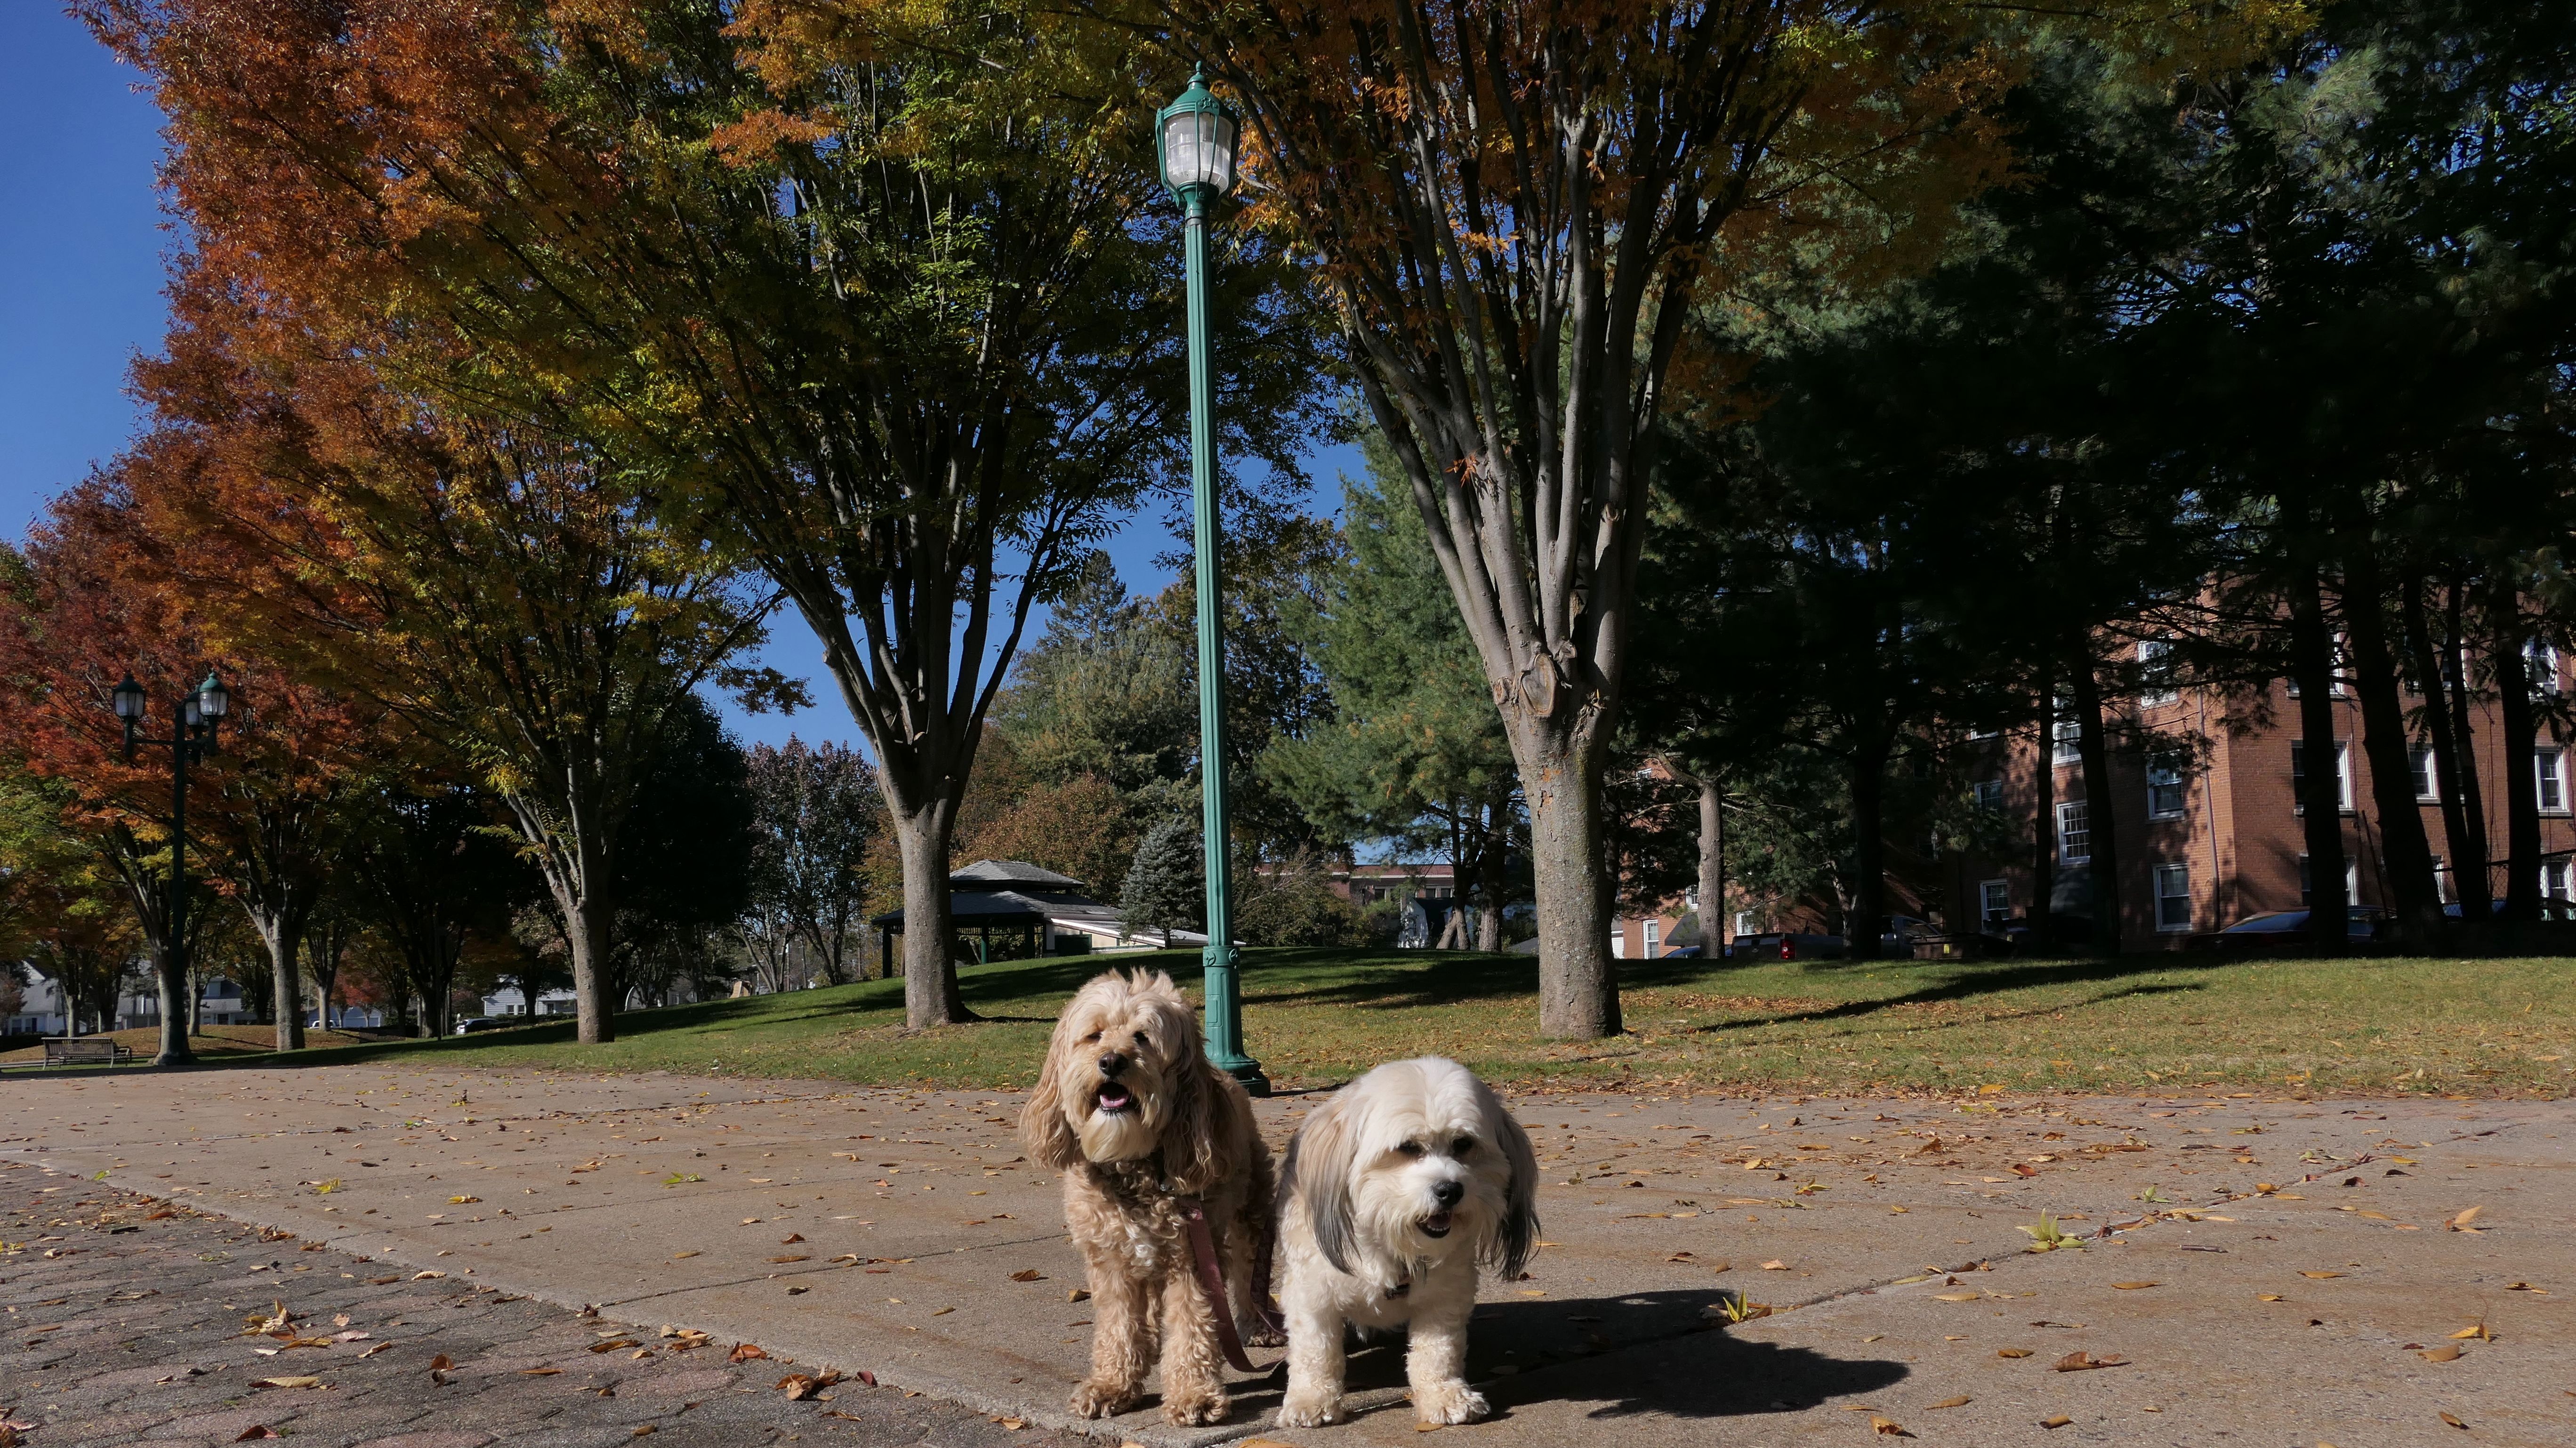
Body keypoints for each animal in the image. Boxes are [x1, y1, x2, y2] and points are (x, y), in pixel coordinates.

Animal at [1021, 969, 1276, 1425]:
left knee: (1251, 1269)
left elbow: (1193, 1325)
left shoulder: (1194, 1260)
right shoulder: (1110, 1261)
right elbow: (1118, 1326)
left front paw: (1193, 1394)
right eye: (1095, 1035)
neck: (1133, 1161)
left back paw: (1256, 1324)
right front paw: (1113, 1385)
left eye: (1142, 1037)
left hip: (1251, 1209)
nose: (1111, 1061)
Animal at [1273, 1056, 1537, 1427]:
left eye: (1463, 1144)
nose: (1449, 1190)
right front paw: (1311, 1400)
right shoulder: (1313, 1293)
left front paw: (1444, 1394)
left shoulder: (1444, 1295)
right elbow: (1316, 1351)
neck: (1389, 1239)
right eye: (1408, 1148)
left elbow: (1437, 1351)